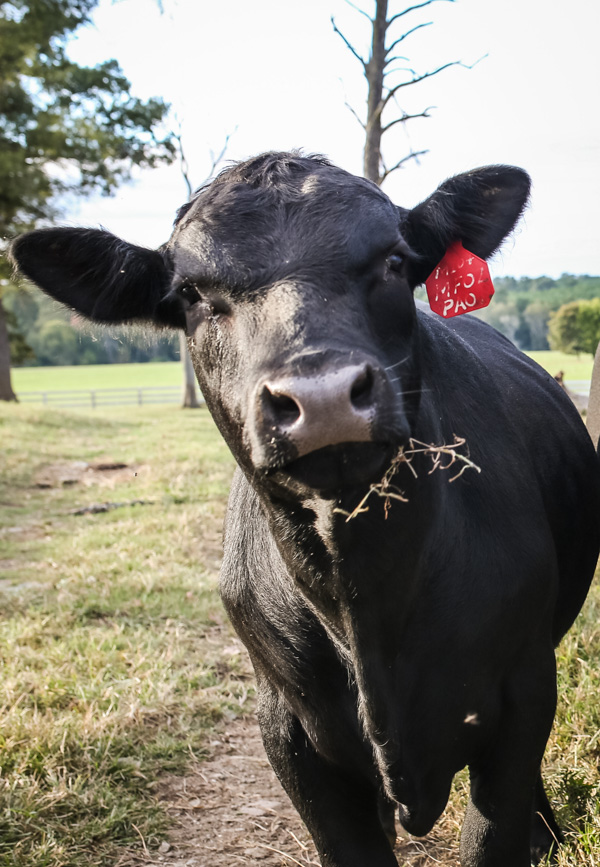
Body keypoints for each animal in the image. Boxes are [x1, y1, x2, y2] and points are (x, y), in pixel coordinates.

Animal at [10, 156, 600, 867]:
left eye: (394, 261)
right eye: (193, 295)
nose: (322, 397)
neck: (364, 596)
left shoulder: (522, 691)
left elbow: (494, 833)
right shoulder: (290, 733)